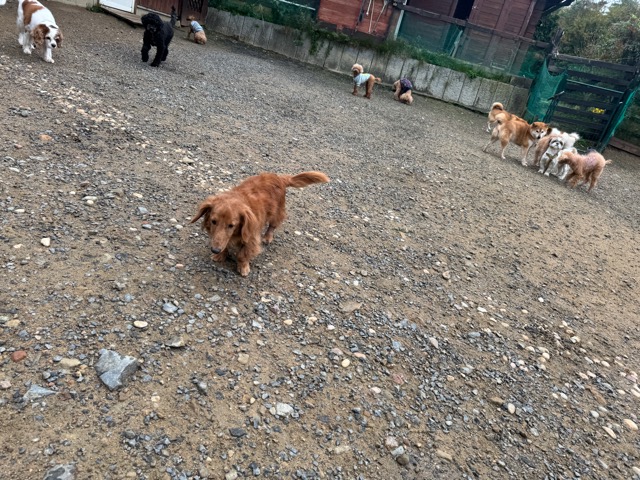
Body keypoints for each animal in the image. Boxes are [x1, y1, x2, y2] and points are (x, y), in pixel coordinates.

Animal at [191, 171, 330, 276]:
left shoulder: (251, 238)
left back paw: (267, 237)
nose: (214, 250)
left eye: (231, 225)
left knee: (272, 226)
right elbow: (224, 244)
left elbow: (242, 255)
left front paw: (243, 268)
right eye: (213, 221)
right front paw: (220, 256)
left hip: (276, 213)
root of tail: (279, 177)